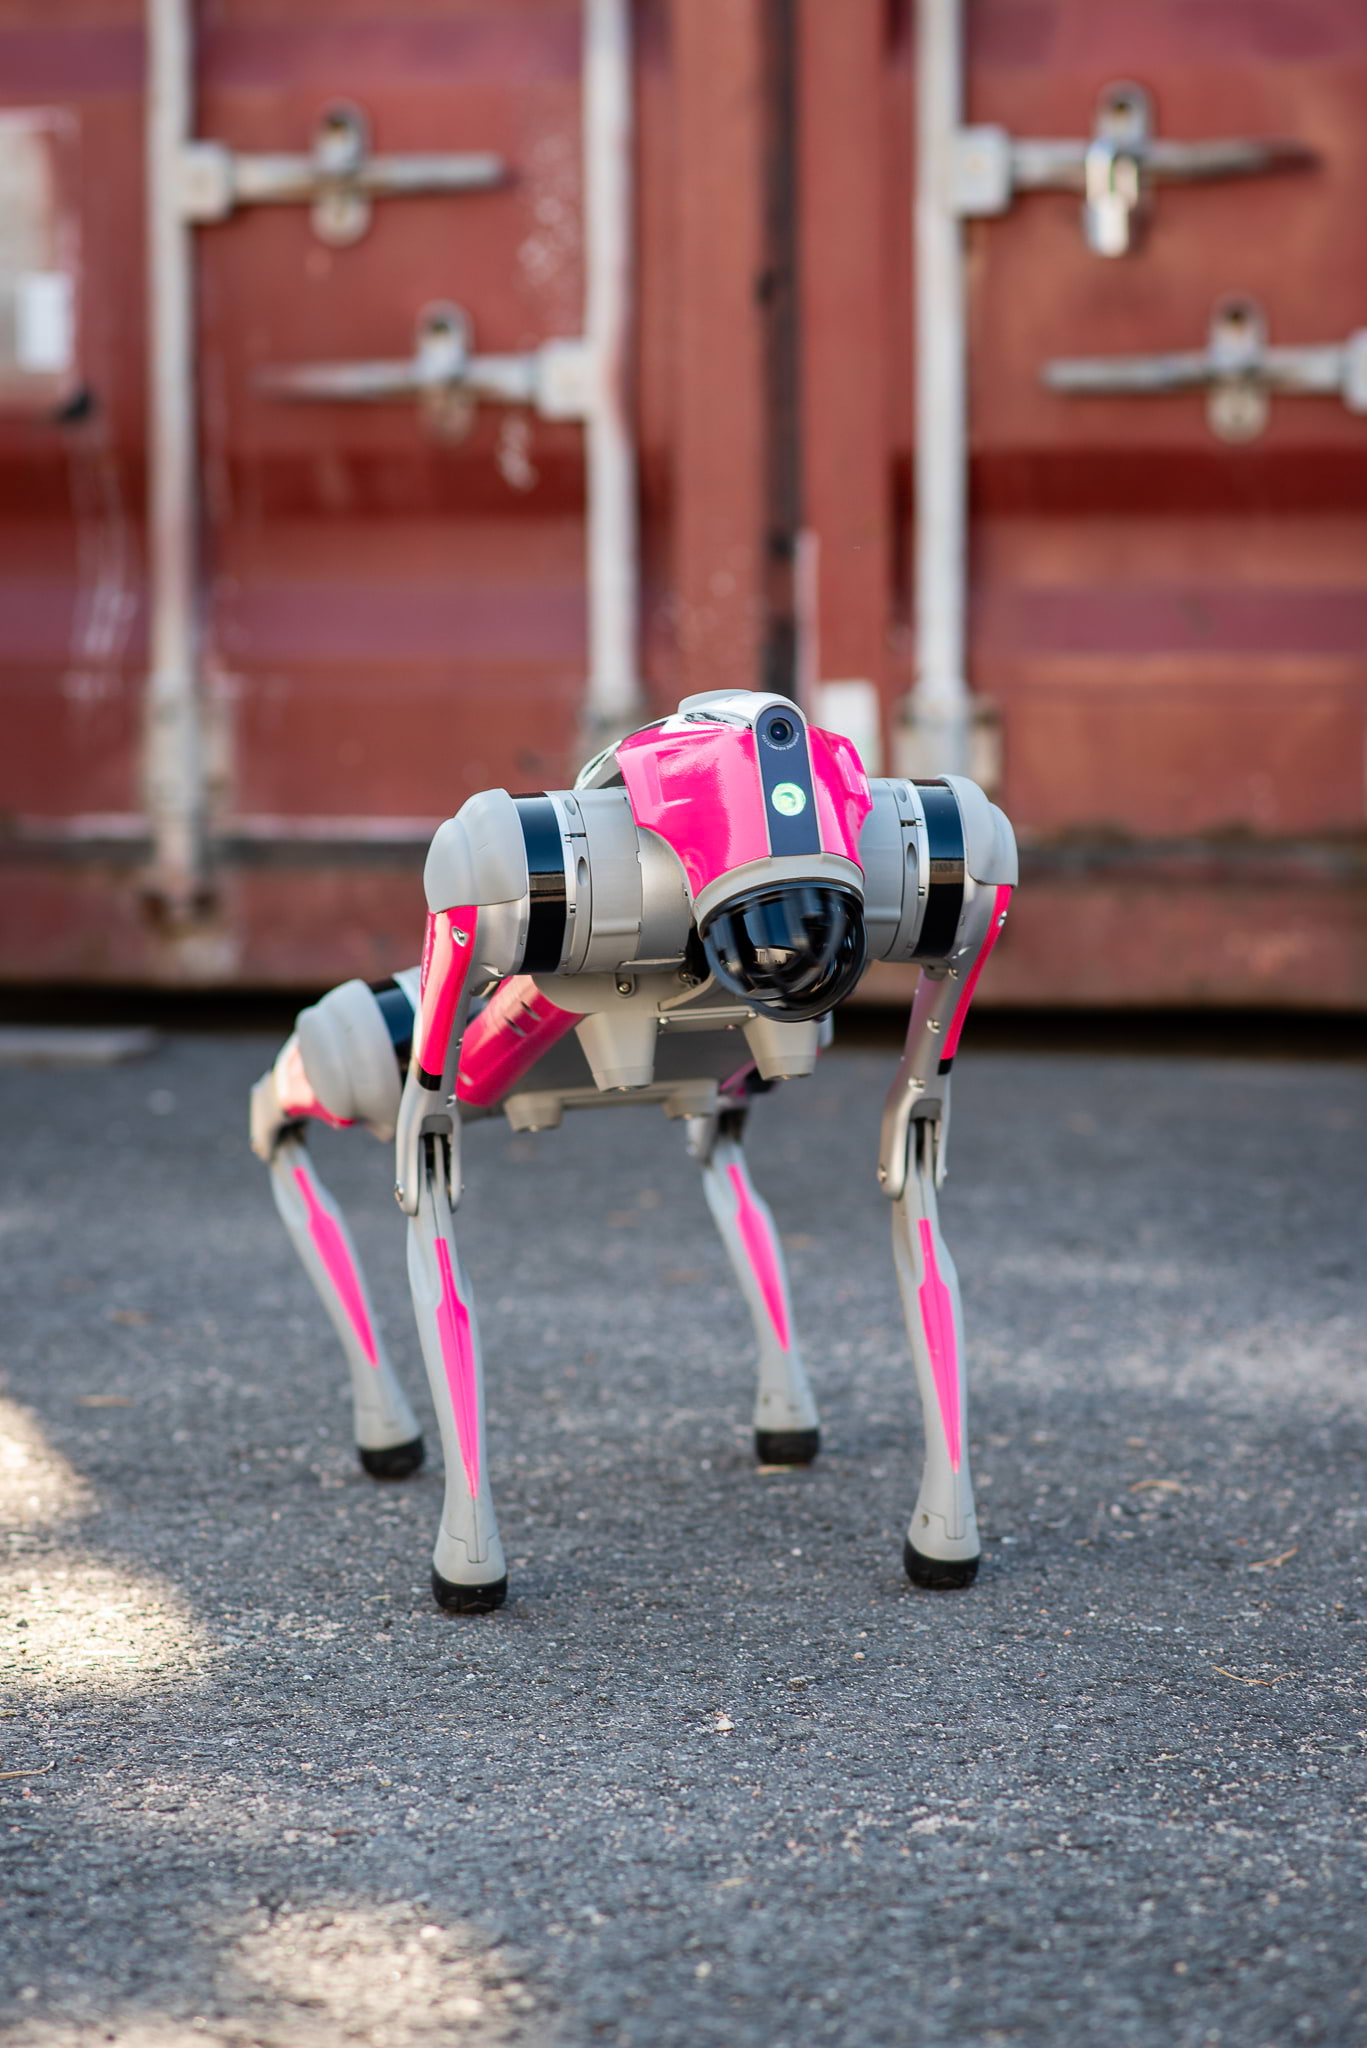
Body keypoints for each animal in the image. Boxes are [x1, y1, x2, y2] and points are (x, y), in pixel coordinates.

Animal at [249, 696, 1016, 1605]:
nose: (791, 956)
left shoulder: (959, 866)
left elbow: (914, 1141)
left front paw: (943, 1535)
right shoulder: (491, 868)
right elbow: (426, 1175)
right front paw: (468, 1563)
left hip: (724, 1076)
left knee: (723, 1157)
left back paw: (784, 1409)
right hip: (429, 1049)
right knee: (343, 1063)